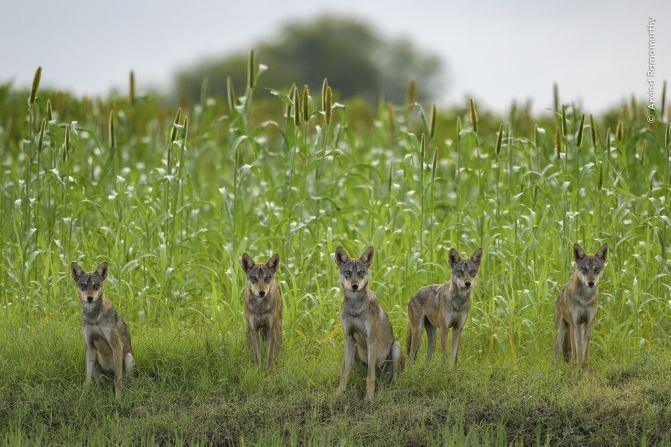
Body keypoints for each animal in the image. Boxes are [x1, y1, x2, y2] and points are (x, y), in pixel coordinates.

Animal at [71, 262, 135, 400]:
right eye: (83, 285)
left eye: (96, 285)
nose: (89, 298)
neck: (93, 316)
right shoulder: (90, 346)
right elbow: (87, 381)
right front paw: (82, 399)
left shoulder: (116, 345)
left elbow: (118, 378)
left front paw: (118, 399)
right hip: (94, 361)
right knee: (100, 384)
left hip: (128, 357)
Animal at [334, 247, 402, 400]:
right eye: (348, 272)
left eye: (361, 272)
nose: (355, 286)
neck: (354, 306)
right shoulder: (349, 339)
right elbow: (344, 373)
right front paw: (338, 394)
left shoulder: (371, 340)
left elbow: (370, 376)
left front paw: (369, 399)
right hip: (354, 351)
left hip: (396, 347)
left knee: (392, 378)